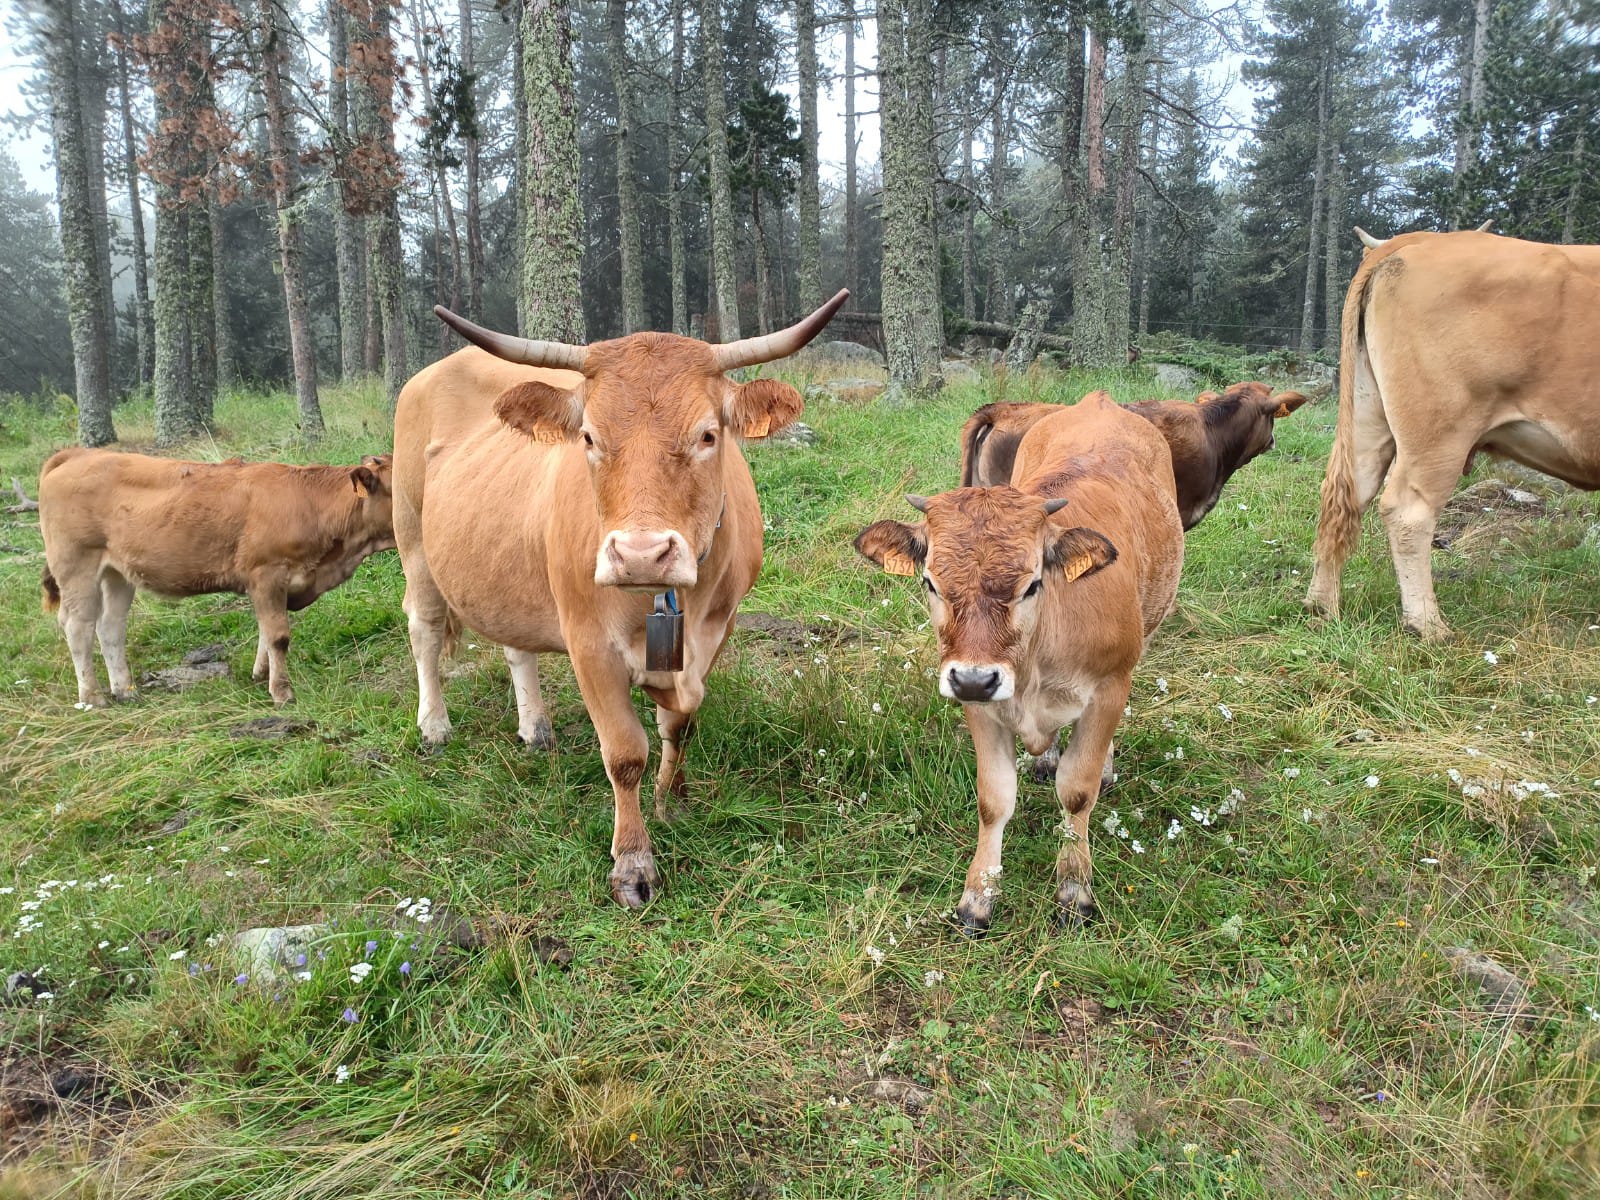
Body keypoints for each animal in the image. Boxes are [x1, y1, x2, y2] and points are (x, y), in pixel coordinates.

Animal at [38, 448, 395, 707]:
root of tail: (78, 454)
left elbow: (265, 630)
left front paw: (261, 674)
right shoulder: (266, 573)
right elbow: (278, 635)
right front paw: (282, 692)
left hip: (117, 573)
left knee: (110, 626)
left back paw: (125, 690)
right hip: (77, 567)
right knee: (78, 626)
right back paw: (93, 696)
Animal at [396, 291, 848, 908]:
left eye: (708, 435)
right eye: (588, 437)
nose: (640, 554)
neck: (663, 603)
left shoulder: (716, 631)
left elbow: (680, 724)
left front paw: (673, 801)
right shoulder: (589, 644)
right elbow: (625, 753)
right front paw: (633, 863)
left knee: (517, 646)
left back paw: (535, 727)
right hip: (412, 536)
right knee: (423, 627)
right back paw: (434, 726)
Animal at [854, 391, 1183, 933]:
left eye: (1032, 584)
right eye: (929, 582)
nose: (974, 678)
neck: (1034, 665)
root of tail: (1099, 401)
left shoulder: (1109, 688)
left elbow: (1078, 791)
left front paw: (1074, 889)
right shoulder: (980, 704)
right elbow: (994, 800)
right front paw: (977, 897)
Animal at [1304, 228, 1600, 639]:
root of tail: (1418, 239)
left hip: (1367, 410)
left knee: (1346, 494)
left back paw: (1321, 605)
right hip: (1440, 429)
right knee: (1408, 512)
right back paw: (1428, 625)